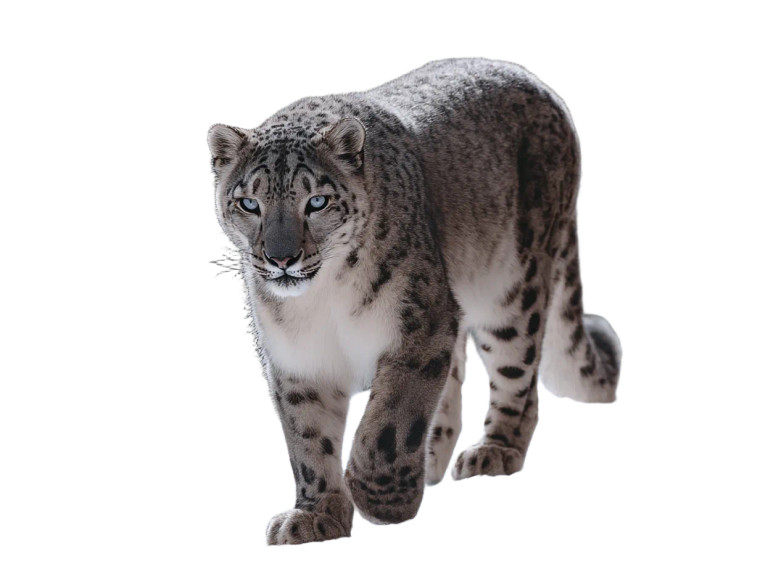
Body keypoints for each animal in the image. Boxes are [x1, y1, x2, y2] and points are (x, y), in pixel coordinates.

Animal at [207, 58, 622, 545]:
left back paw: (491, 451)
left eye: (317, 201)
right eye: (249, 203)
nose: (281, 258)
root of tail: (544, 88)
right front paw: (316, 516)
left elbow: (389, 420)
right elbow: (307, 440)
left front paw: (380, 499)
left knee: (517, 372)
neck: (321, 303)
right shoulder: (296, 362)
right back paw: (432, 461)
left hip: (511, 290)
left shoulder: (418, 329)